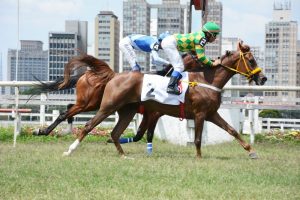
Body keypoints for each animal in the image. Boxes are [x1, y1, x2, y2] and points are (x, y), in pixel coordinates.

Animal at [62, 41, 268, 159]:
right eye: (251, 60)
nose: (263, 78)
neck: (206, 80)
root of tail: (115, 76)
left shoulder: (211, 114)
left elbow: (232, 130)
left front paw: (251, 151)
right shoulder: (200, 114)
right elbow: (197, 139)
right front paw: (199, 158)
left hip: (127, 111)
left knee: (114, 133)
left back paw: (123, 155)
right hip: (108, 107)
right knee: (88, 126)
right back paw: (70, 150)